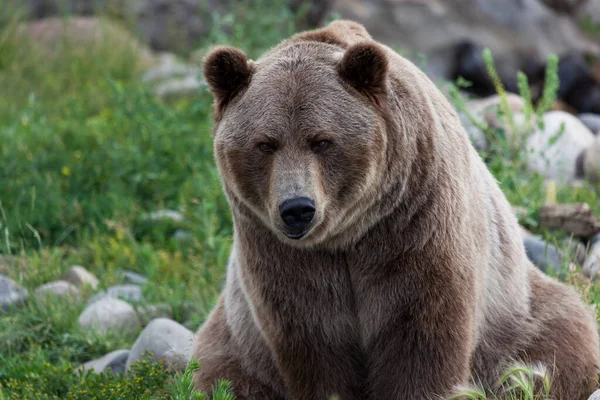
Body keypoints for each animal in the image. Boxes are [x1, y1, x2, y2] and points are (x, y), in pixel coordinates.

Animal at [193, 19, 600, 400]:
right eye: (265, 143)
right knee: (221, 375)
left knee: (557, 347)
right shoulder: (278, 254)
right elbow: (313, 345)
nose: (297, 208)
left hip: (515, 313)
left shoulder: (414, 223)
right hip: (233, 340)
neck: (345, 237)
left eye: (322, 140)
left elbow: (421, 337)